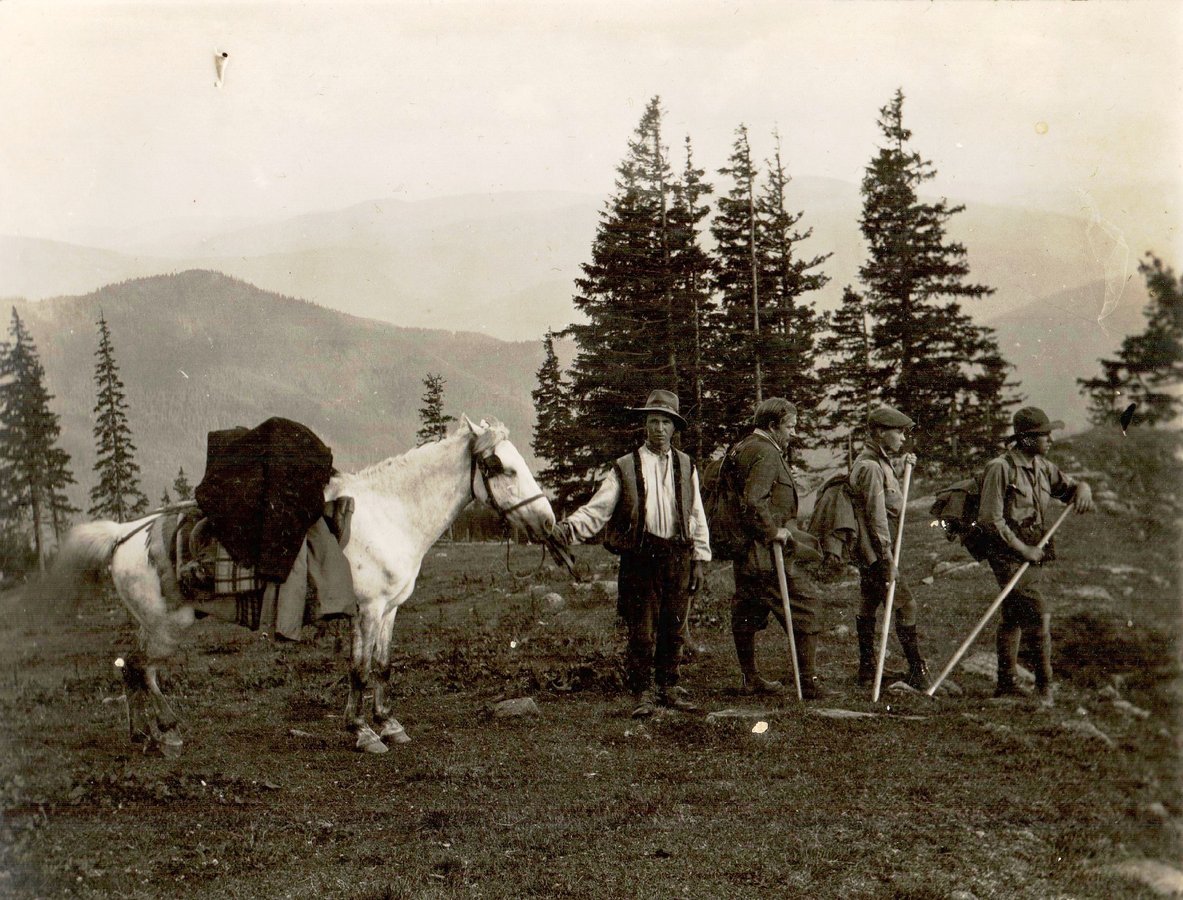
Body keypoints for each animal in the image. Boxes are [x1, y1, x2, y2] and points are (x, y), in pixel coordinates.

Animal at [43, 418, 560, 756]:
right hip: (164, 624)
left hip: (150, 624)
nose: (547, 521)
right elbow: (359, 670)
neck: (390, 515)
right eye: (501, 467)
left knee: (129, 668)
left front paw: (388, 724)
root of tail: (125, 534)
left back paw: (143, 734)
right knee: (142, 670)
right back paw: (166, 731)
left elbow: (383, 666)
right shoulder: (366, 610)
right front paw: (361, 732)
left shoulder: (390, 610)